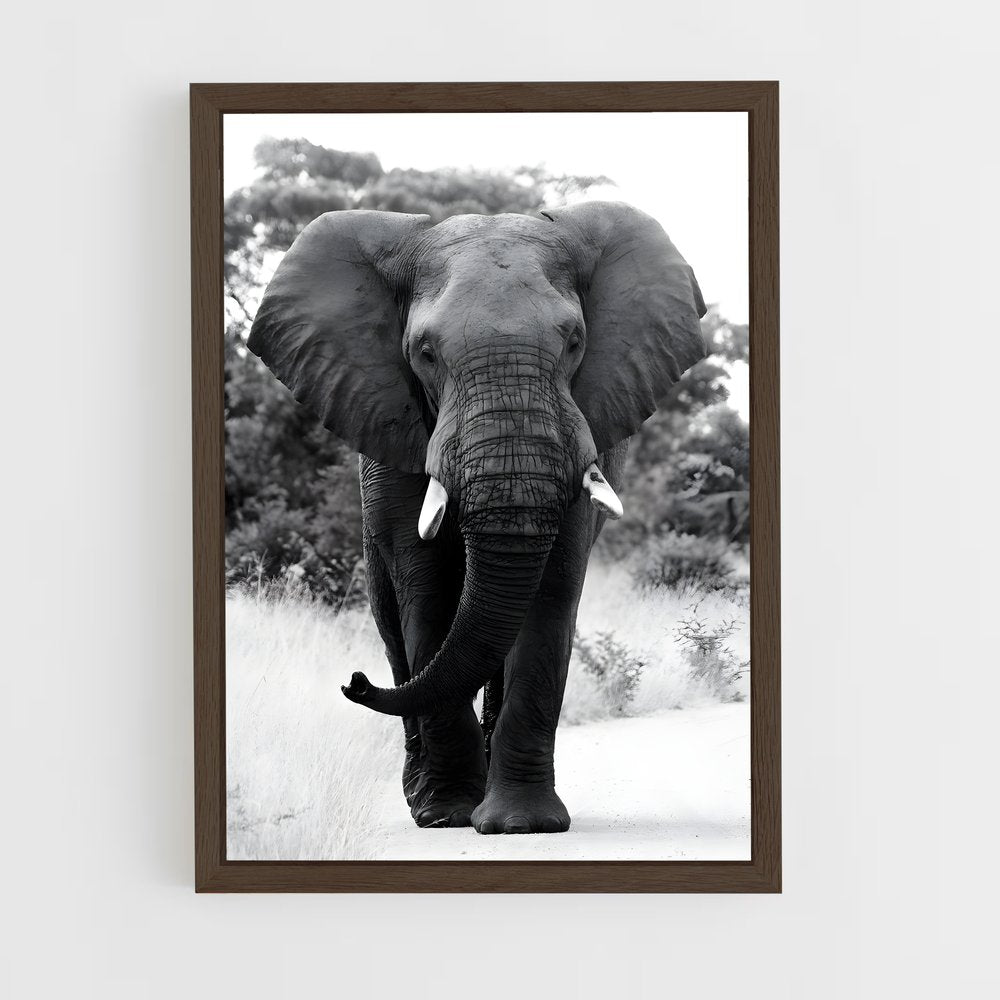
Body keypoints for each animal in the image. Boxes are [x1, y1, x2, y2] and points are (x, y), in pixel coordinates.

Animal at [246, 201, 706, 834]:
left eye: (574, 341)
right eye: (424, 352)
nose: (352, 680)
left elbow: (550, 595)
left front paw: (523, 824)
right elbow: (427, 589)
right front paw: (446, 814)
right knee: (397, 627)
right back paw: (425, 797)